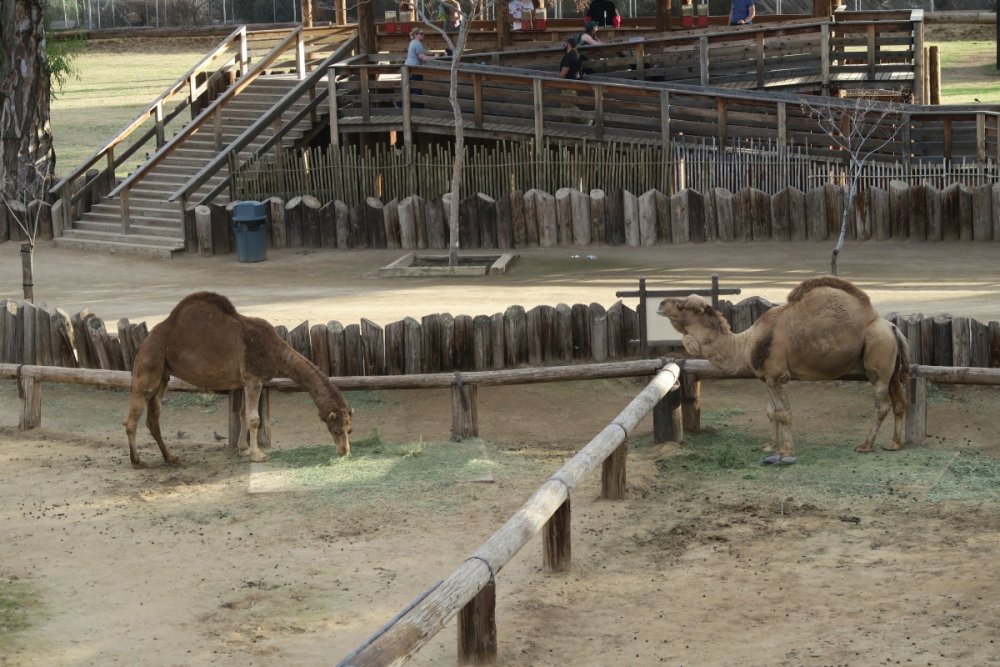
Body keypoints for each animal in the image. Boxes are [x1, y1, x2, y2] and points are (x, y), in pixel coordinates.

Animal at [124, 292, 352, 468]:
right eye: (337, 430)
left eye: (350, 429)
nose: (345, 452)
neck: (276, 351)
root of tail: (144, 342)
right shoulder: (253, 378)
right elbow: (254, 419)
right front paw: (258, 455)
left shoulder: (244, 381)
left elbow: (243, 415)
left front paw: (243, 449)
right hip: (148, 366)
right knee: (133, 417)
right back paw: (137, 461)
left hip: (163, 376)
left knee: (153, 418)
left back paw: (171, 457)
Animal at [657, 276, 909, 464]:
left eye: (681, 305)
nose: (660, 304)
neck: (745, 344)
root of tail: (892, 327)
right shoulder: (766, 378)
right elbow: (772, 411)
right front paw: (769, 446)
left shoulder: (778, 376)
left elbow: (785, 413)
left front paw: (786, 453)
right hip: (892, 370)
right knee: (899, 402)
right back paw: (894, 444)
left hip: (878, 362)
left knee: (881, 405)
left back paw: (866, 445)